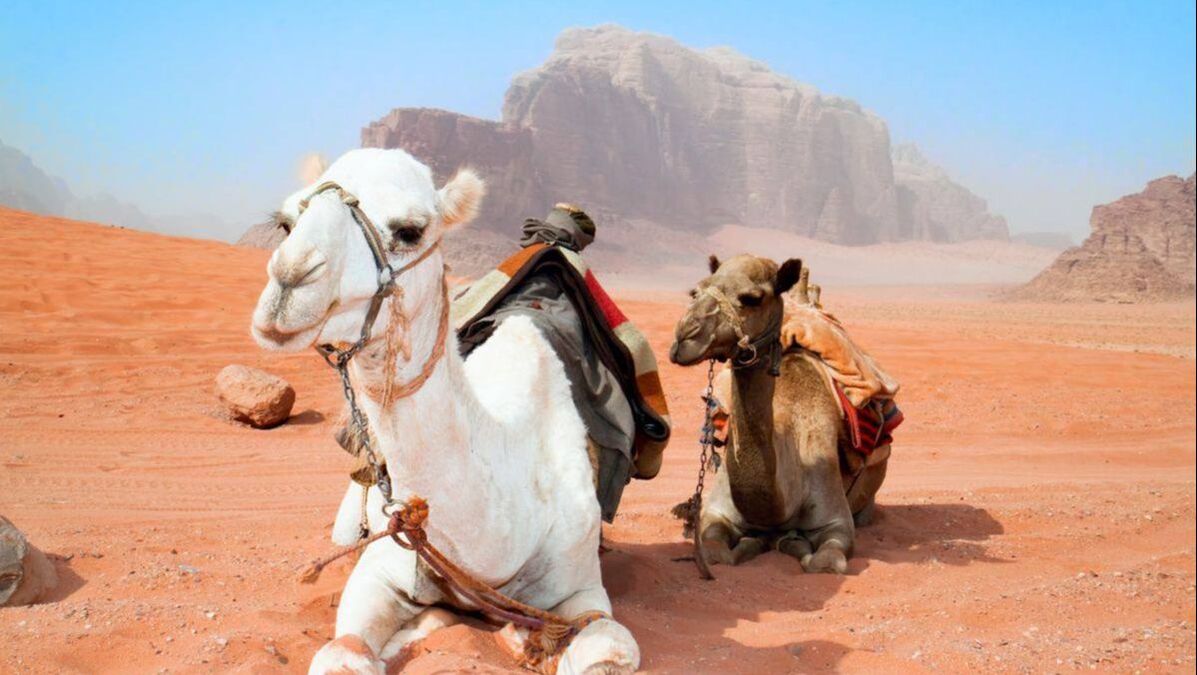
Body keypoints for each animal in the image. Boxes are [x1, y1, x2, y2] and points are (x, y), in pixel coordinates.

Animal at [251, 148, 638, 674]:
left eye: (410, 230)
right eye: (287, 223)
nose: (289, 282)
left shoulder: (581, 586)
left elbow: (608, 648)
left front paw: (520, 637)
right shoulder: (382, 567)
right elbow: (342, 652)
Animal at [669, 254, 888, 573]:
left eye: (752, 298)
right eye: (695, 291)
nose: (685, 337)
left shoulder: (837, 523)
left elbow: (824, 561)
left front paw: (791, 543)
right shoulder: (716, 513)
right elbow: (716, 553)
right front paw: (756, 541)